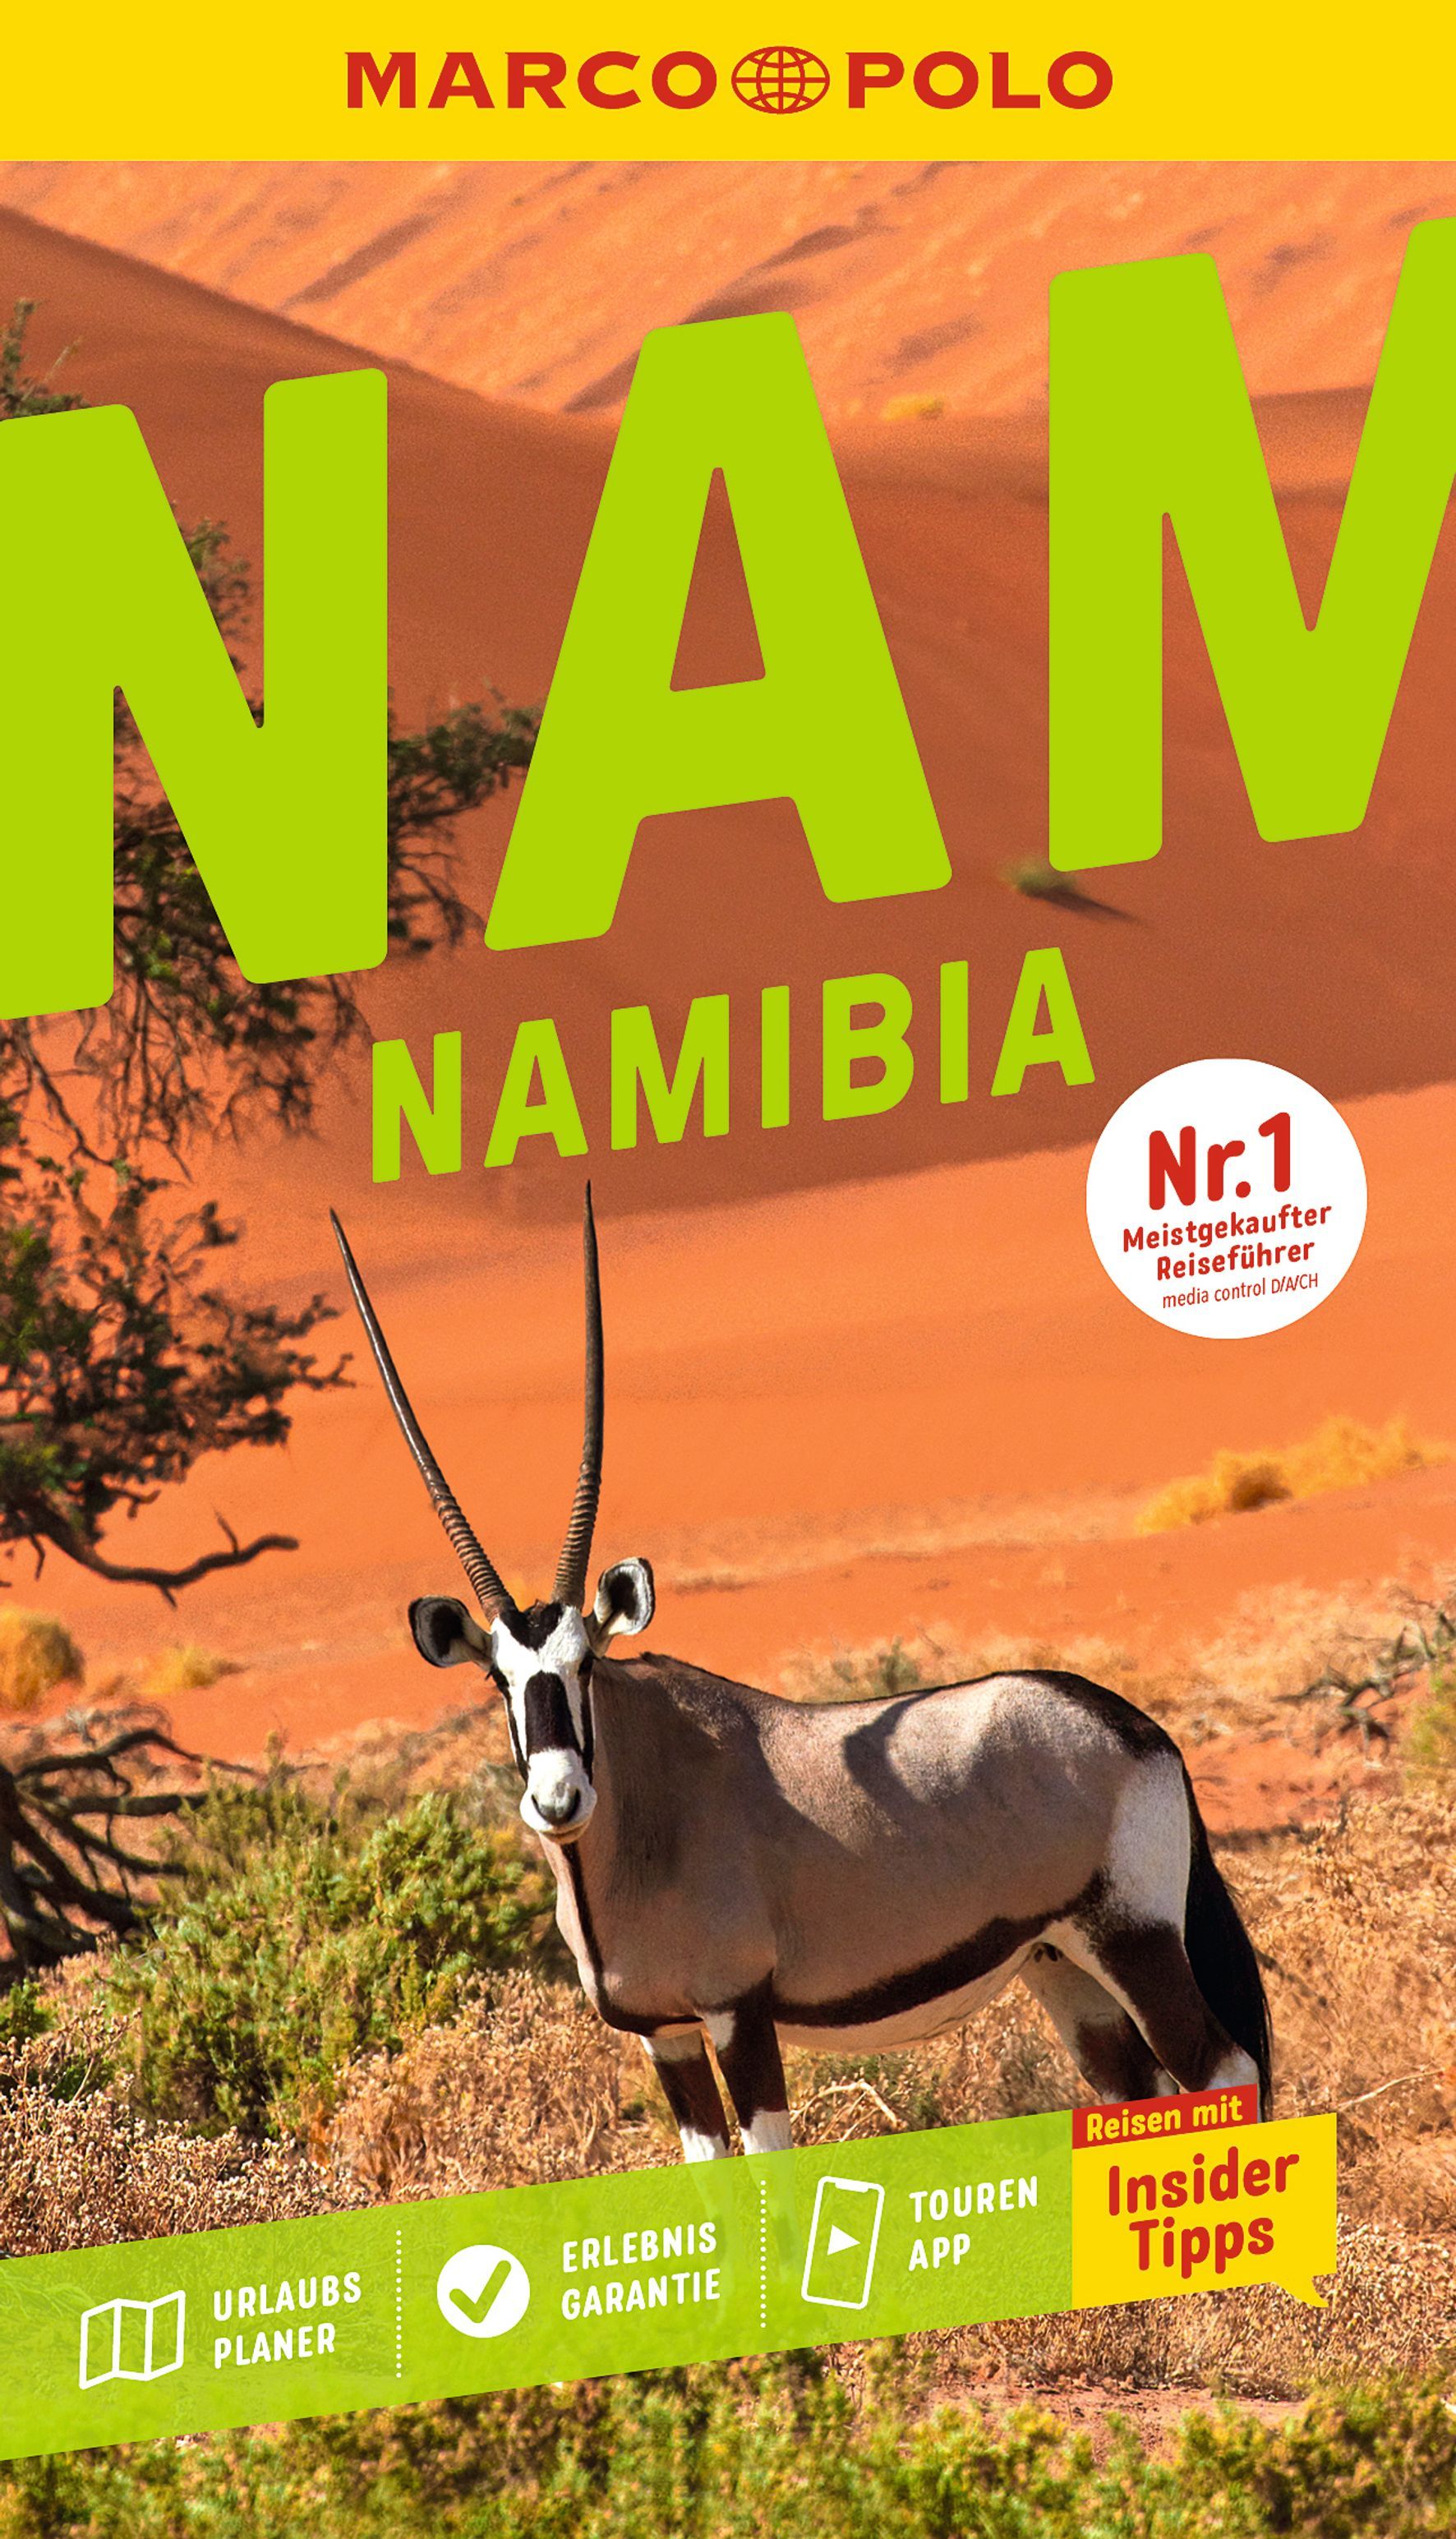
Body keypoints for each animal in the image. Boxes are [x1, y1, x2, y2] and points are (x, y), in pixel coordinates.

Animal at [330, 1194, 1271, 2161]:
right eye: (497, 1681)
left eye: (584, 1662)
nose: (559, 1800)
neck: (640, 1818)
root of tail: (1138, 1728)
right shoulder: (666, 2036)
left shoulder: (738, 2014)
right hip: (1064, 1967)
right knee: (1139, 2092)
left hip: (1134, 1939)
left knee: (1224, 2068)